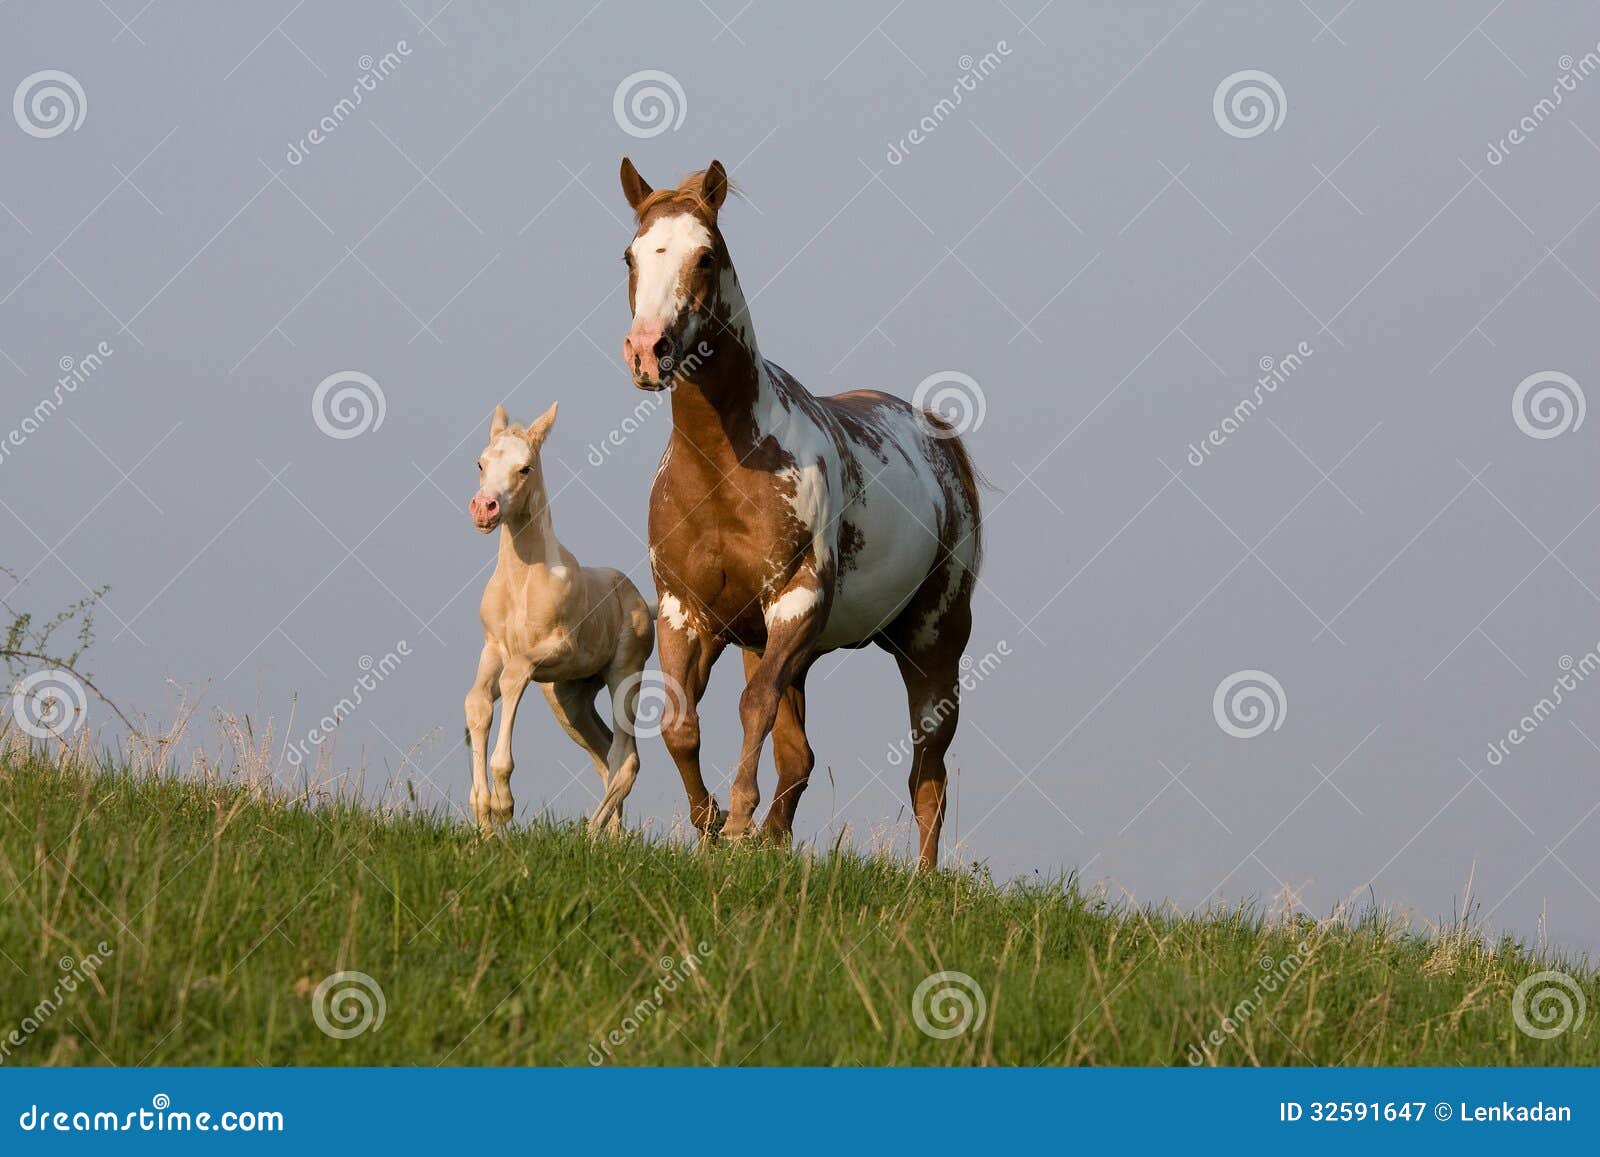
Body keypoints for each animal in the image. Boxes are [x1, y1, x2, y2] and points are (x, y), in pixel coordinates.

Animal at [464, 404, 656, 832]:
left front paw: (503, 803)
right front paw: (483, 817)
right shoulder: (491, 649)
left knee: (627, 759)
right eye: (481, 462)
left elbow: (514, 675)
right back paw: (614, 836)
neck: (522, 583)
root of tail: (641, 601)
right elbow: (477, 703)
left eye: (525, 468)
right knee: (605, 753)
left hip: (623, 676)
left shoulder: (557, 647)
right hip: (567, 697)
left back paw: (591, 834)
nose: (484, 509)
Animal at [617, 160, 979, 870]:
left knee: (929, 775)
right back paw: (773, 838)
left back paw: (923, 878)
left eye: (706, 256)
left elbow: (752, 707)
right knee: (800, 757)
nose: (649, 352)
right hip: (786, 649)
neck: (725, 469)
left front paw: (734, 822)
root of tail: (940, 442)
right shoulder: (684, 612)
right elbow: (679, 723)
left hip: (933, 644)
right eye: (631, 255)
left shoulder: (795, 599)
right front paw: (711, 825)